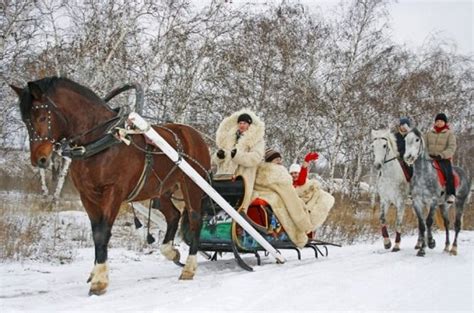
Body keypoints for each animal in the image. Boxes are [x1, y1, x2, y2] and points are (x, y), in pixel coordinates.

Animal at [10, 77, 210, 294]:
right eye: (25, 120)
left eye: (41, 117)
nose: (39, 159)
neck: (100, 140)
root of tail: (193, 133)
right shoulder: (87, 195)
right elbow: (96, 232)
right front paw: (96, 272)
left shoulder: (113, 191)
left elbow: (103, 232)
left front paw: (99, 280)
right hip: (162, 189)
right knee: (173, 215)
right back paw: (170, 251)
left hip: (192, 185)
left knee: (195, 219)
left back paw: (189, 268)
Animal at [404, 127, 470, 256]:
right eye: (405, 139)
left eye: (417, 139)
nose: (408, 157)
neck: (423, 174)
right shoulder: (417, 202)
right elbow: (422, 224)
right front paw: (422, 249)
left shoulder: (433, 201)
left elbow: (429, 221)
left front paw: (430, 243)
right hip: (444, 205)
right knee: (447, 223)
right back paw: (446, 247)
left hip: (460, 202)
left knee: (457, 225)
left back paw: (453, 249)